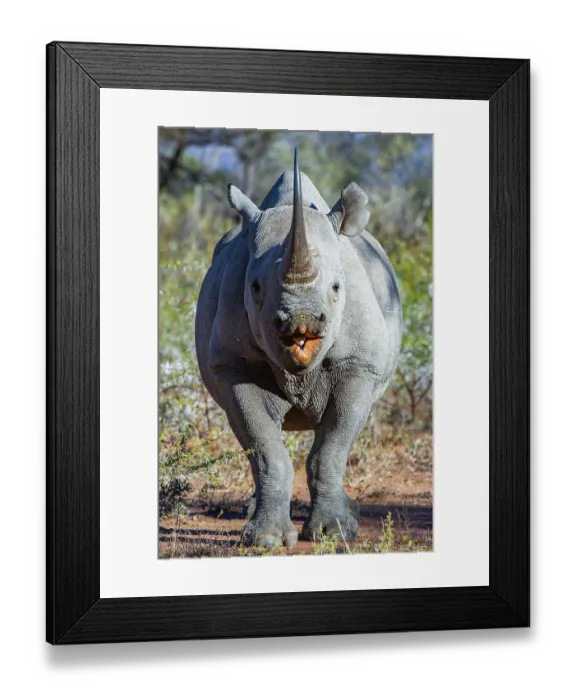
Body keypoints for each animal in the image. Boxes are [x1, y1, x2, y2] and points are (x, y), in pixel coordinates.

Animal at [195, 150, 402, 548]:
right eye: (255, 287)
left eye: (337, 288)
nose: (301, 318)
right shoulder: (234, 366)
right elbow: (265, 449)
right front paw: (265, 540)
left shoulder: (358, 367)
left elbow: (331, 451)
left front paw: (336, 534)